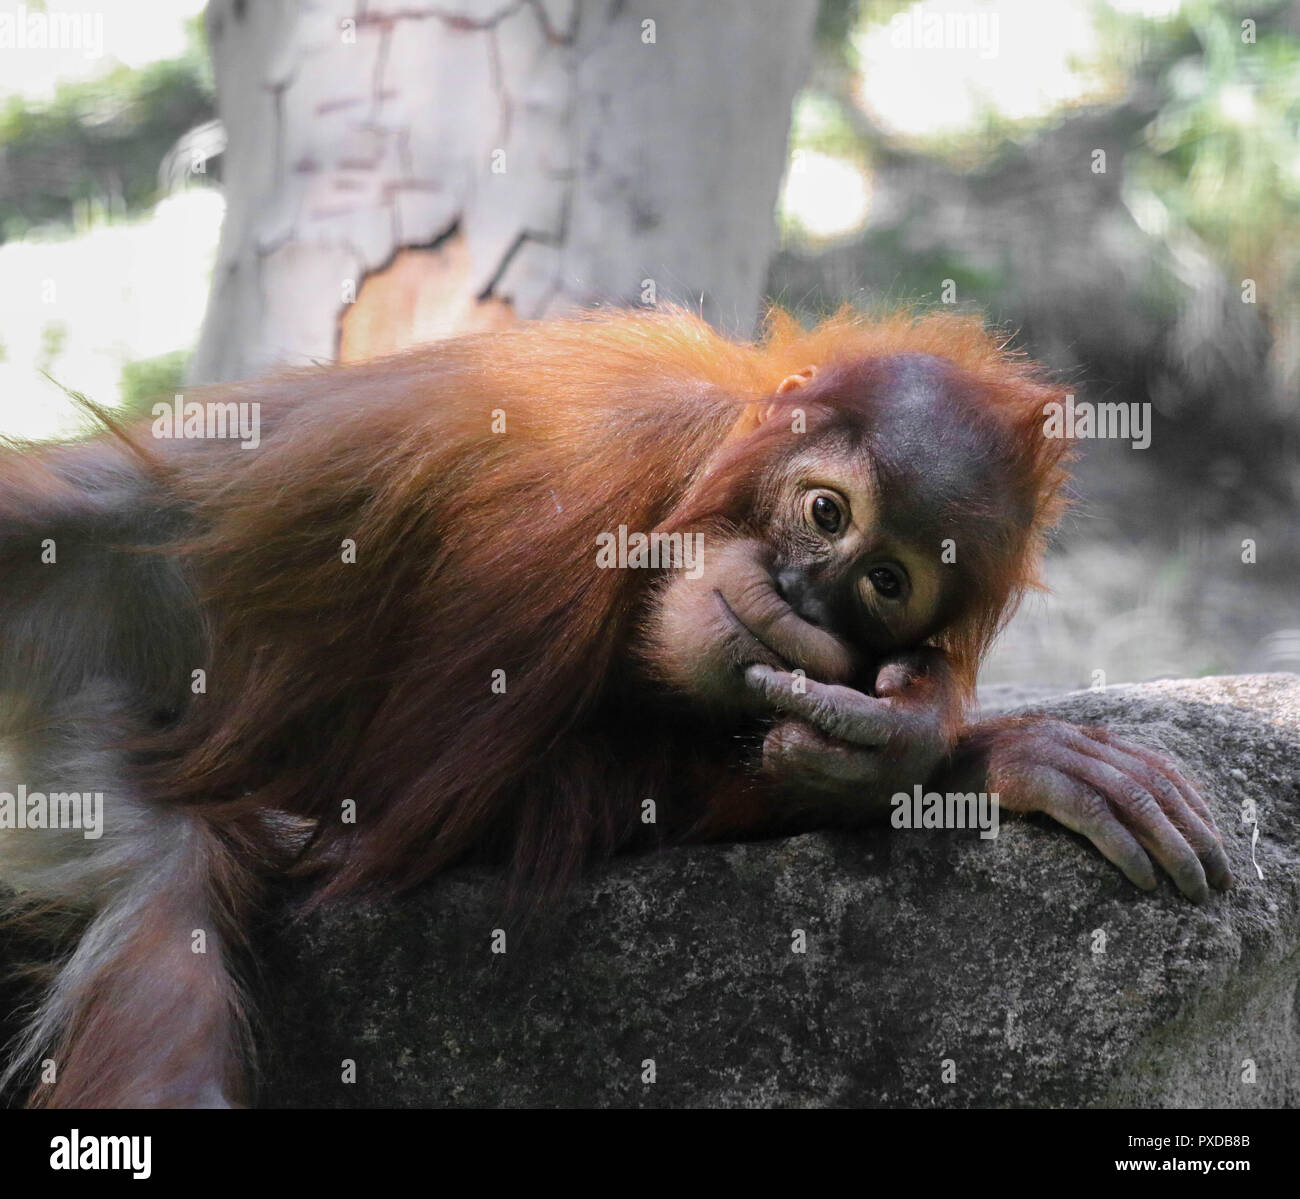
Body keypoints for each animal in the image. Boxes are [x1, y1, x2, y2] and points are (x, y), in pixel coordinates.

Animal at [0, 306, 1230, 1108]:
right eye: (825, 512)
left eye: (885, 584)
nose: (801, 596)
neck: (693, 478)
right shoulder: (576, 489)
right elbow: (417, 796)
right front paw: (948, 746)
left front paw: (927, 751)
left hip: (93, 792)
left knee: (161, 959)